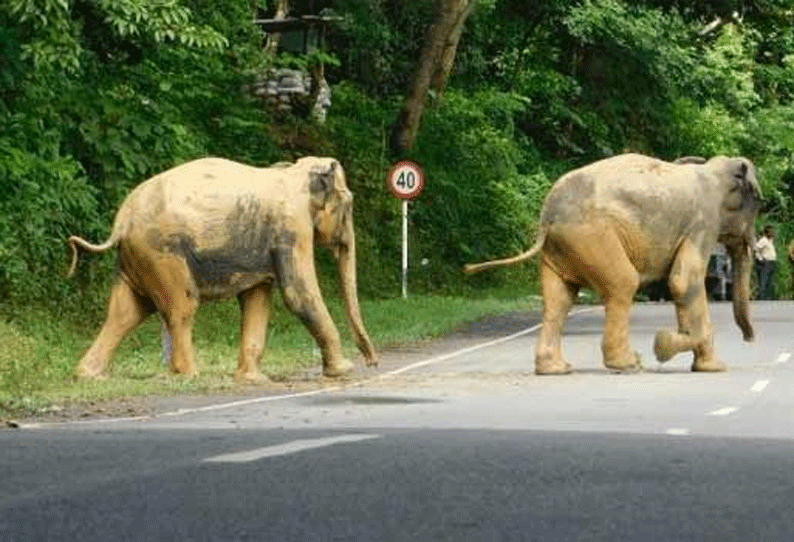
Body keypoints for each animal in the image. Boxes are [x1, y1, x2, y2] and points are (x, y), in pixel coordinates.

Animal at [66, 155, 376, 380]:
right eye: (348, 203)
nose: (372, 362)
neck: (293, 172)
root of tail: (121, 221)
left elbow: (257, 298)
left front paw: (251, 380)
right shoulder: (292, 227)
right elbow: (298, 294)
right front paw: (343, 371)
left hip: (138, 257)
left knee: (126, 312)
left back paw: (89, 375)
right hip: (163, 254)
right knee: (181, 307)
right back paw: (189, 375)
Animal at [464, 152, 760, 374]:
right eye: (759, 202)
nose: (750, 339)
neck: (712, 170)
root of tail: (548, 213)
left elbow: (680, 285)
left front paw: (697, 361)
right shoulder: (702, 223)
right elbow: (683, 282)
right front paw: (670, 348)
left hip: (562, 246)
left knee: (559, 299)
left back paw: (556, 369)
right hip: (592, 236)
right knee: (623, 283)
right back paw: (628, 364)